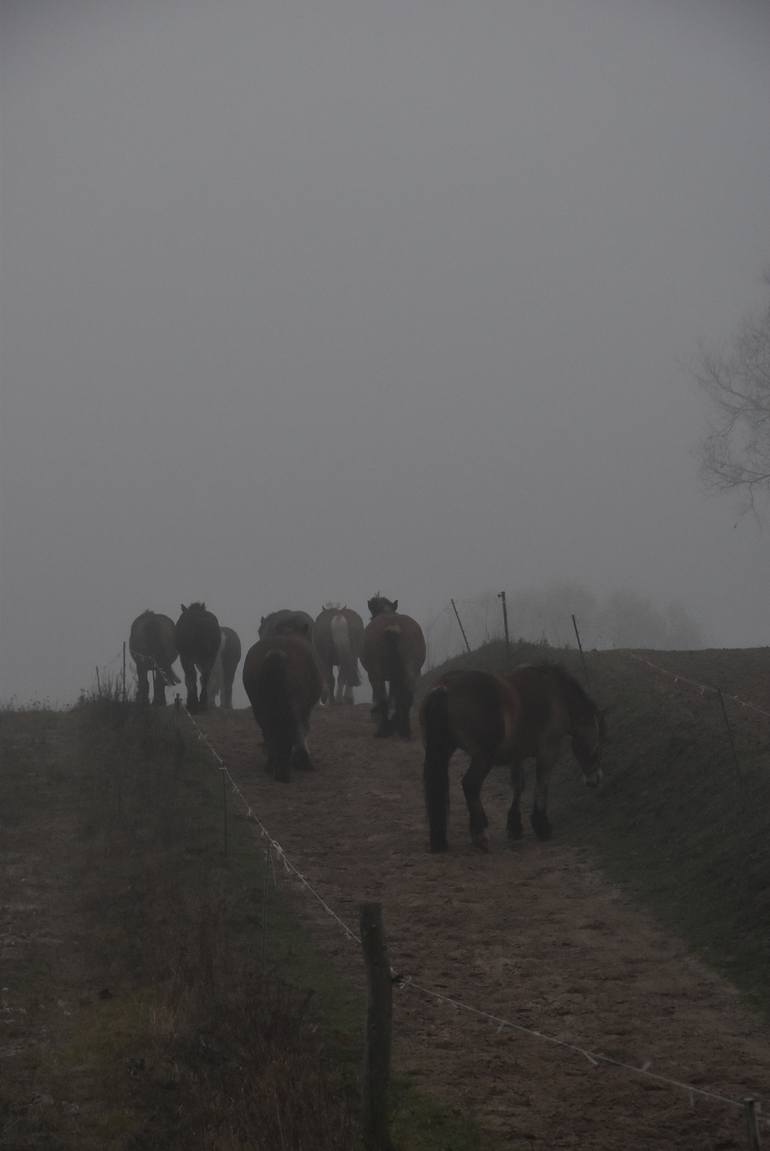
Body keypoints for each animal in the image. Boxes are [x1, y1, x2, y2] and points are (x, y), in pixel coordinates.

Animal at [242, 630, 322, 782]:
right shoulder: (304, 708)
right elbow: (304, 729)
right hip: (292, 707)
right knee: (292, 730)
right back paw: (288, 769)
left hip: (261, 708)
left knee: (269, 732)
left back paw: (272, 765)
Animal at [361, 593, 425, 736]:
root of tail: (392, 625)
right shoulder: (396, 676)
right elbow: (396, 696)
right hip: (411, 670)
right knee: (408, 697)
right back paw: (405, 731)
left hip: (375, 673)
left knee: (382, 698)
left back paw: (383, 730)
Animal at [421, 662, 607, 851]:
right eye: (600, 742)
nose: (595, 779)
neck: (558, 695)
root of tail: (444, 687)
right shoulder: (548, 752)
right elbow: (542, 785)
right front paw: (542, 826)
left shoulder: (517, 755)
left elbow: (518, 785)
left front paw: (515, 826)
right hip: (483, 758)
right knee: (470, 785)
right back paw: (480, 834)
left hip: (443, 751)